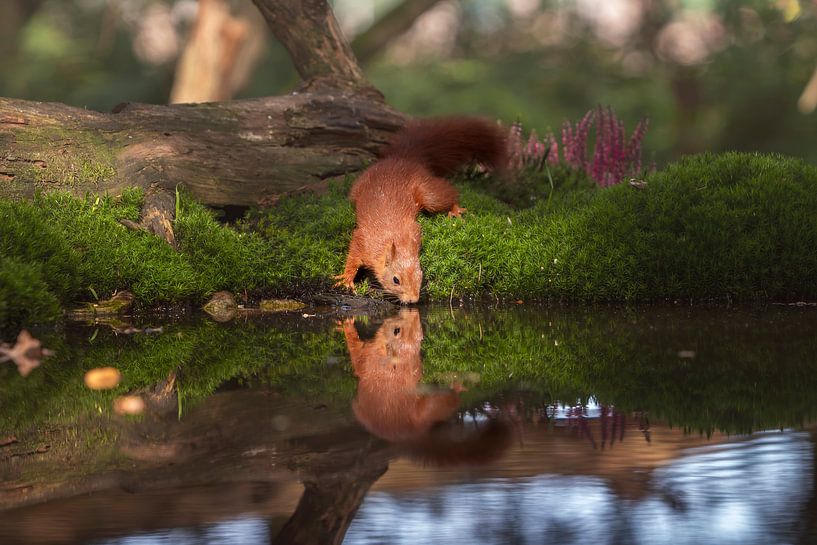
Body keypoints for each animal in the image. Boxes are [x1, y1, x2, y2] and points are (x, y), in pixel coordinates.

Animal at [334, 116, 506, 302]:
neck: (394, 240)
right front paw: (346, 278)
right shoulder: (363, 241)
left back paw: (455, 210)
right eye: (395, 280)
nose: (413, 300)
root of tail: (403, 159)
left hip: (427, 194)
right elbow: (353, 256)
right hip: (357, 190)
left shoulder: (412, 230)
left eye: (421, 275)